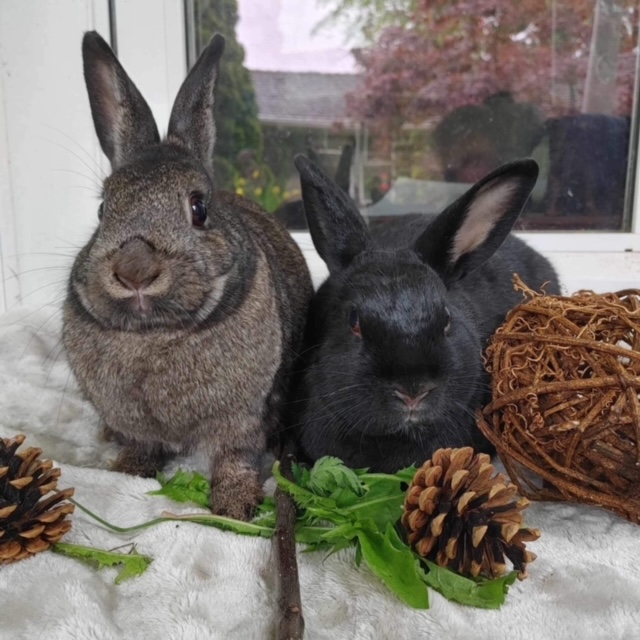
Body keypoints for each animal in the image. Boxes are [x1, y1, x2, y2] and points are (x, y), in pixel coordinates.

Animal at [62, 32, 313, 520]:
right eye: (103, 210)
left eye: (199, 207)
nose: (135, 271)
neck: (155, 334)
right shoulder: (135, 424)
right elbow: (140, 448)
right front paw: (126, 471)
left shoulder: (240, 421)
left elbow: (234, 458)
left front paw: (235, 505)